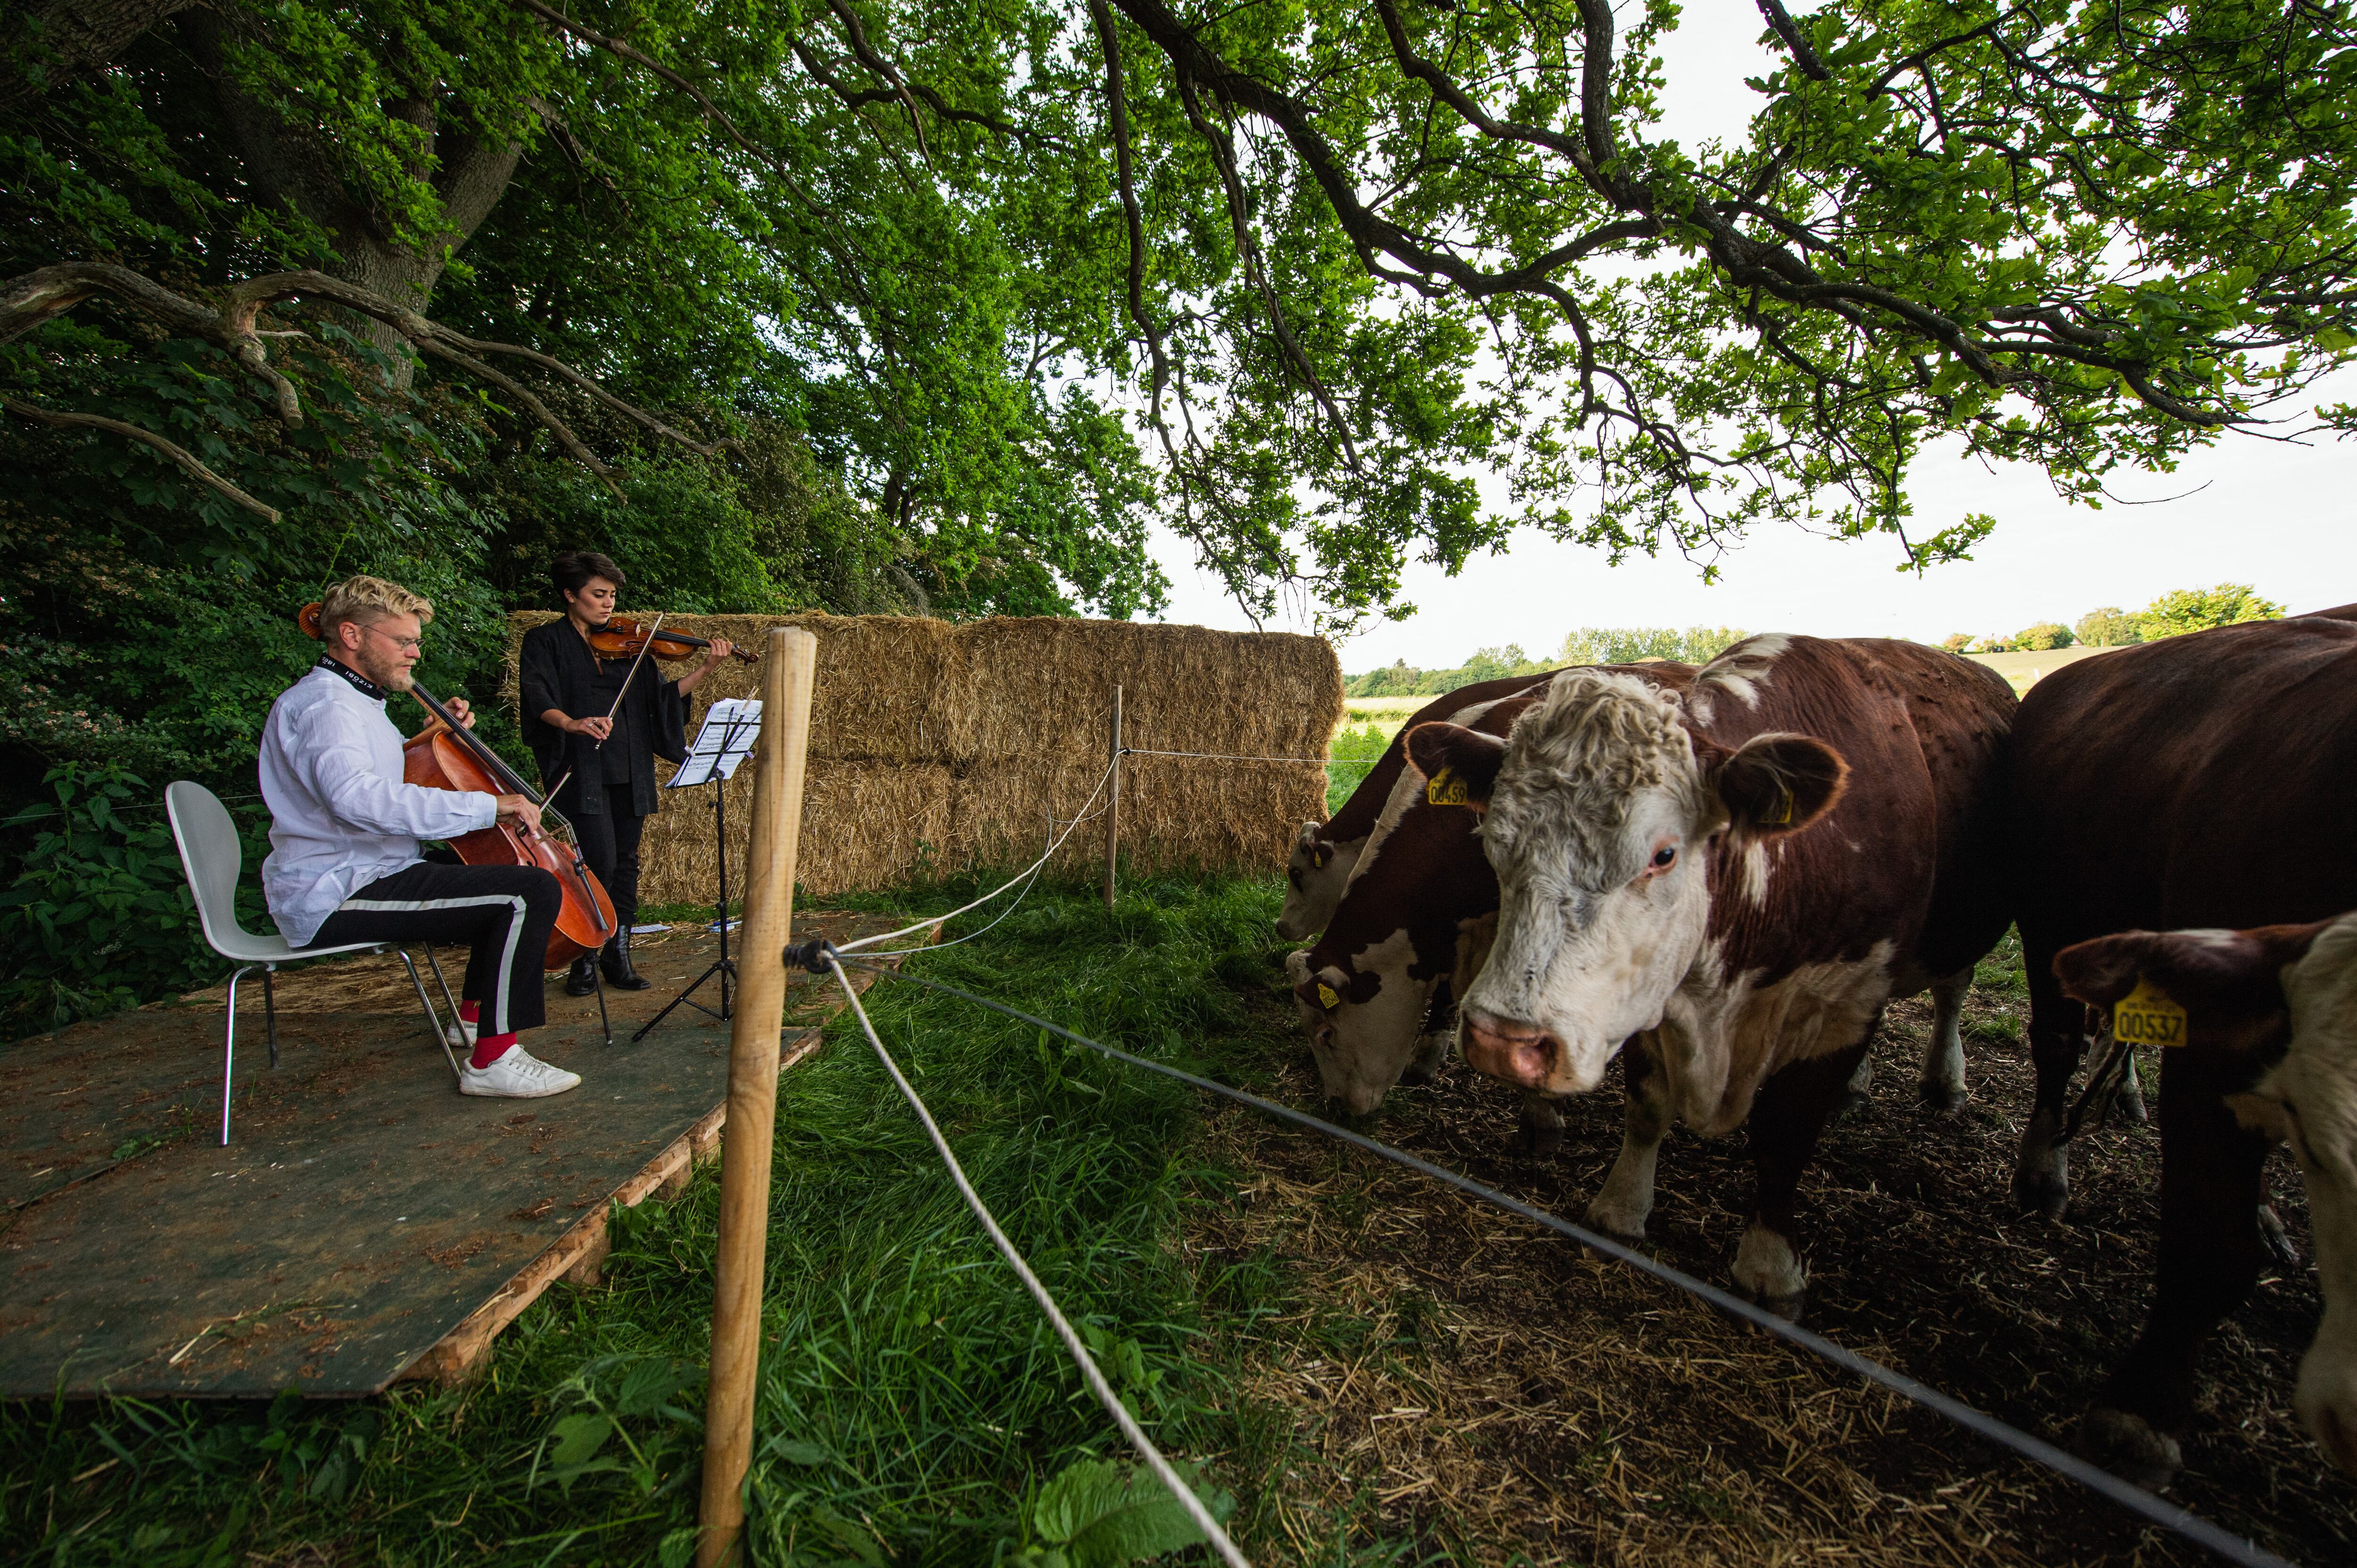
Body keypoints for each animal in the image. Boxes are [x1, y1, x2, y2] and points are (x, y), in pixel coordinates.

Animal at [1404, 637, 2015, 1318]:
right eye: (1494, 841)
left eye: (1665, 853)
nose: (1503, 1041)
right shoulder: (1642, 990)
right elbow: (1647, 1106)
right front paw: (1622, 1208)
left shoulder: (1846, 1001)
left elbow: (1785, 1131)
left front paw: (1770, 1265)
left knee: (1953, 989)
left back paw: (1945, 1081)